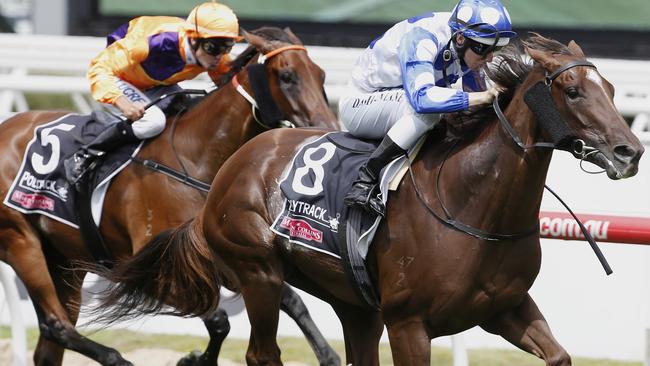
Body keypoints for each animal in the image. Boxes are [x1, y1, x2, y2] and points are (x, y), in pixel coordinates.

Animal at [0, 27, 340, 364]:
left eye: (321, 74)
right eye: (287, 76)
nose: (326, 128)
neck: (196, 160)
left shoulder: (225, 256)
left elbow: (292, 301)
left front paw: (328, 355)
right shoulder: (150, 267)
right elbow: (219, 319)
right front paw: (193, 359)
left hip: (64, 260)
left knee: (50, 342)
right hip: (20, 241)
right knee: (56, 324)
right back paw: (115, 357)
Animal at [87, 33, 644, 364]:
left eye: (612, 89)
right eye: (573, 90)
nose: (630, 151)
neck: (473, 205)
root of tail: (234, 166)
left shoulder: (506, 307)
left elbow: (559, 355)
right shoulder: (409, 324)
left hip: (353, 304)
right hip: (258, 272)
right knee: (262, 352)